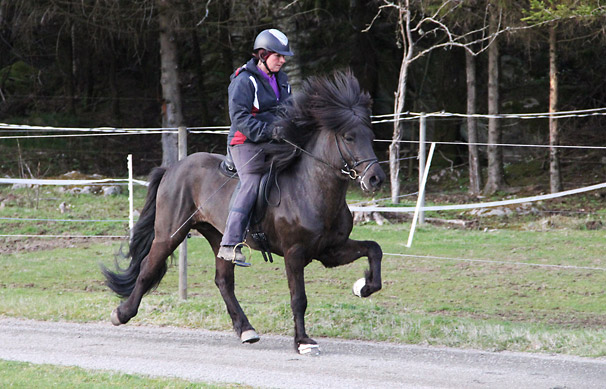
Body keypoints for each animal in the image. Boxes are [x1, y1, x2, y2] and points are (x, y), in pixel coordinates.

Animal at [102, 69, 388, 354]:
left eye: (370, 136)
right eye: (349, 137)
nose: (375, 178)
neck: (310, 187)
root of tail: (173, 167)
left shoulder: (330, 250)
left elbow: (374, 249)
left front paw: (363, 287)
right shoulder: (294, 253)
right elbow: (299, 298)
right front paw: (303, 342)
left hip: (218, 237)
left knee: (223, 282)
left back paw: (246, 329)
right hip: (170, 234)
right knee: (147, 269)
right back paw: (122, 313)